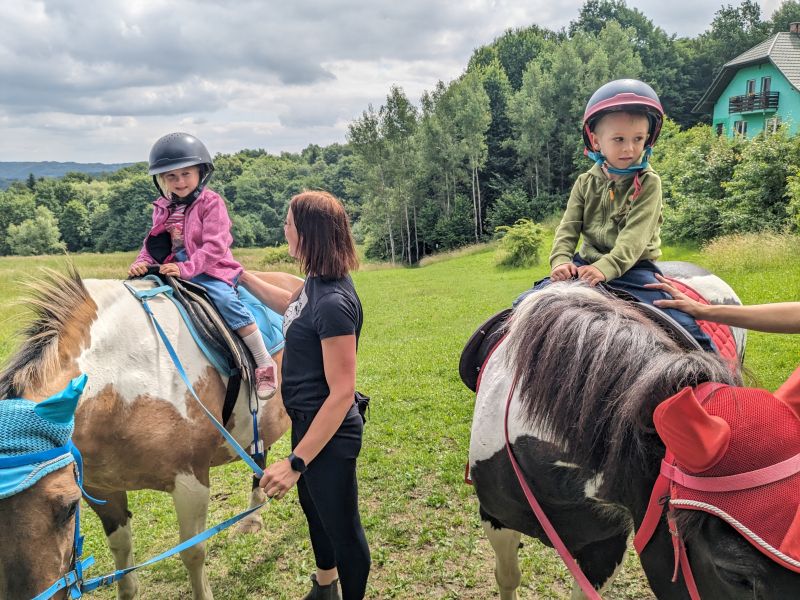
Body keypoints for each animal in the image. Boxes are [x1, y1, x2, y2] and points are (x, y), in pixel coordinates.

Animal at [0, 268, 298, 600]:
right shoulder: (101, 489)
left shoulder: (191, 483)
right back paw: (252, 519)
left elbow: (193, 552)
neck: (121, 382)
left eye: (68, 509)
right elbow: (121, 552)